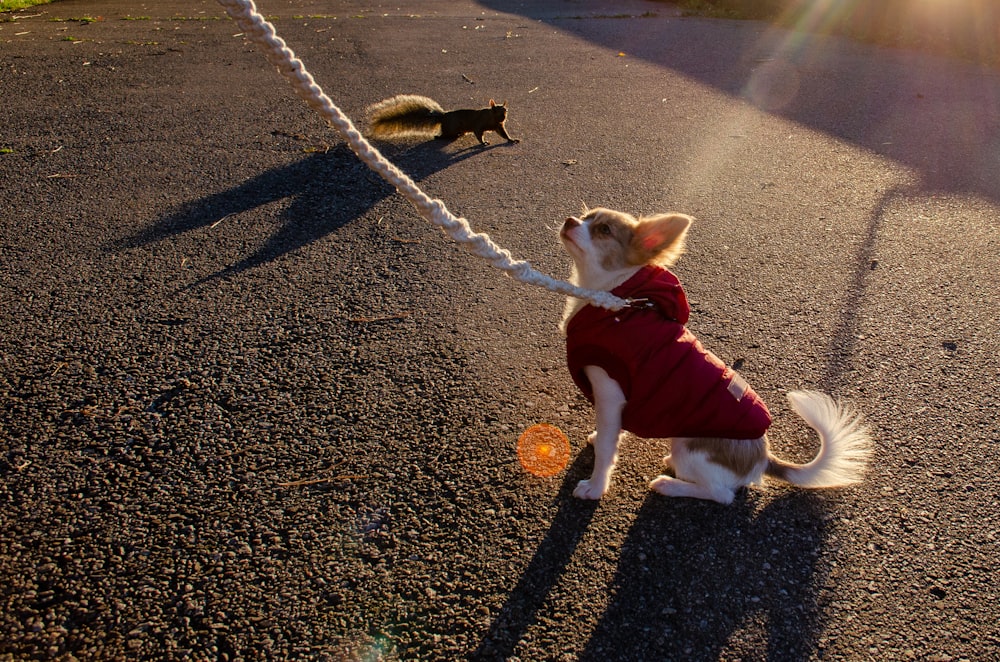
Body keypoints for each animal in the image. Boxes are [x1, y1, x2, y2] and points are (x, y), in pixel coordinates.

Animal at [370, 94, 524, 147]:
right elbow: (479, 134)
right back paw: (438, 136)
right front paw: (484, 142)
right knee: (444, 135)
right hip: (451, 128)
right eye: (494, 110)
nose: (503, 117)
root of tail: (443, 116)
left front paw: (512, 139)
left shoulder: (499, 126)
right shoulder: (478, 124)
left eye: (505, 110)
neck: (492, 119)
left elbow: (504, 134)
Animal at [560, 208, 872, 504]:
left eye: (603, 229)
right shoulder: (620, 402)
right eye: (586, 216)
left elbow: (606, 450)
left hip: (688, 447)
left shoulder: (609, 392)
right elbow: (612, 434)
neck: (616, 303)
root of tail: (762, 459)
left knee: (721, 494)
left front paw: (595, 487)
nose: (570, 220)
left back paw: (671, 485)